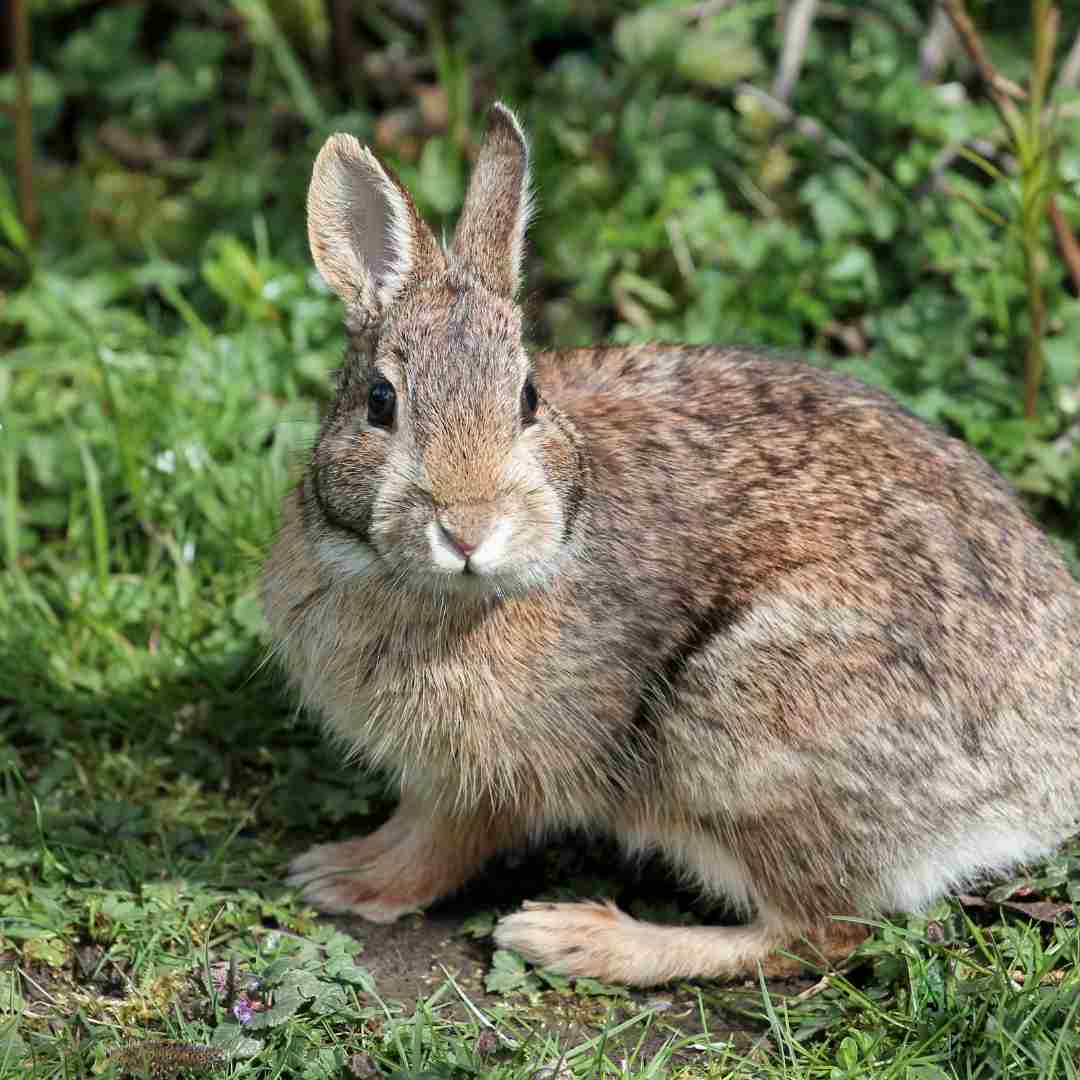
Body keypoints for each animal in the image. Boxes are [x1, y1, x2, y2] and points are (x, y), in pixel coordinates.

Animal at [259, 103, 1080, 989]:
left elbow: (444, 841)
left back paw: (576, 936)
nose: (469, 528)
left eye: (528, 398)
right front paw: (340, 865)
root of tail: (1043, 782)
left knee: (816, 932)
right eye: (380, 402)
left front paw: (348, 881)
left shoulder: (495, 775)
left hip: (740, 733)